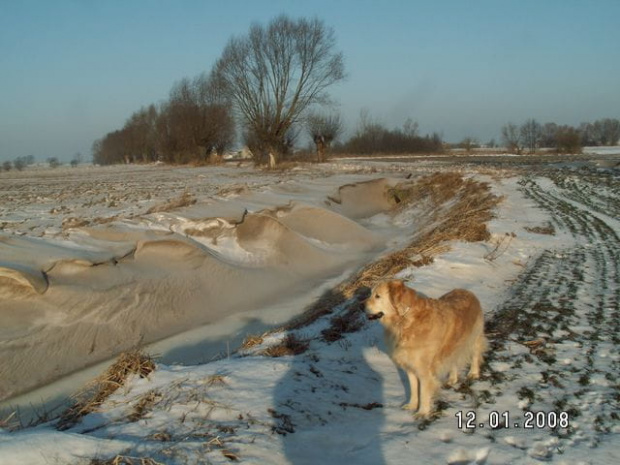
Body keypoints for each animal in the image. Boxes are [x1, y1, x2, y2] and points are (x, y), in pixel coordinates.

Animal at [366, 280, 486, 416]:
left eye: (377, 296)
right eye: (371, 294)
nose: (361, 306)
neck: (404, 320)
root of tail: (467, 291)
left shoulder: (424, 370)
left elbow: (423, 392)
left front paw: (422, 412)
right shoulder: (410, 367)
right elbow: (413, 389)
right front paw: (412, 406)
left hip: (474, 337)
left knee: (476, 354)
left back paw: (473, 373)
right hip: (452, 346)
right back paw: (452, 379)